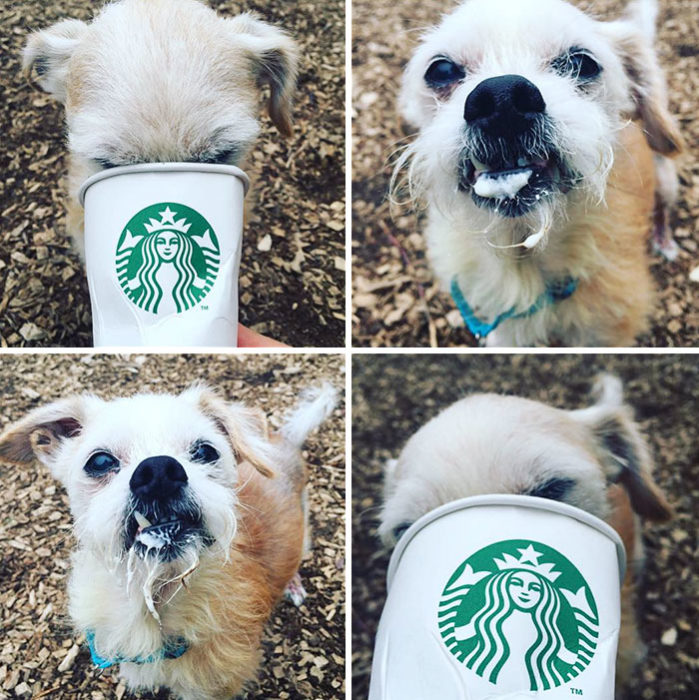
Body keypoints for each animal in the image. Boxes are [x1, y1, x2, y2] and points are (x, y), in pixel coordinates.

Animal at [394, 0, 684, 346]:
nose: (502, 98)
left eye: (582, 63)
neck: (524, 254)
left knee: (663, 210)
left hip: (666, 180)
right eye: (441, 70)